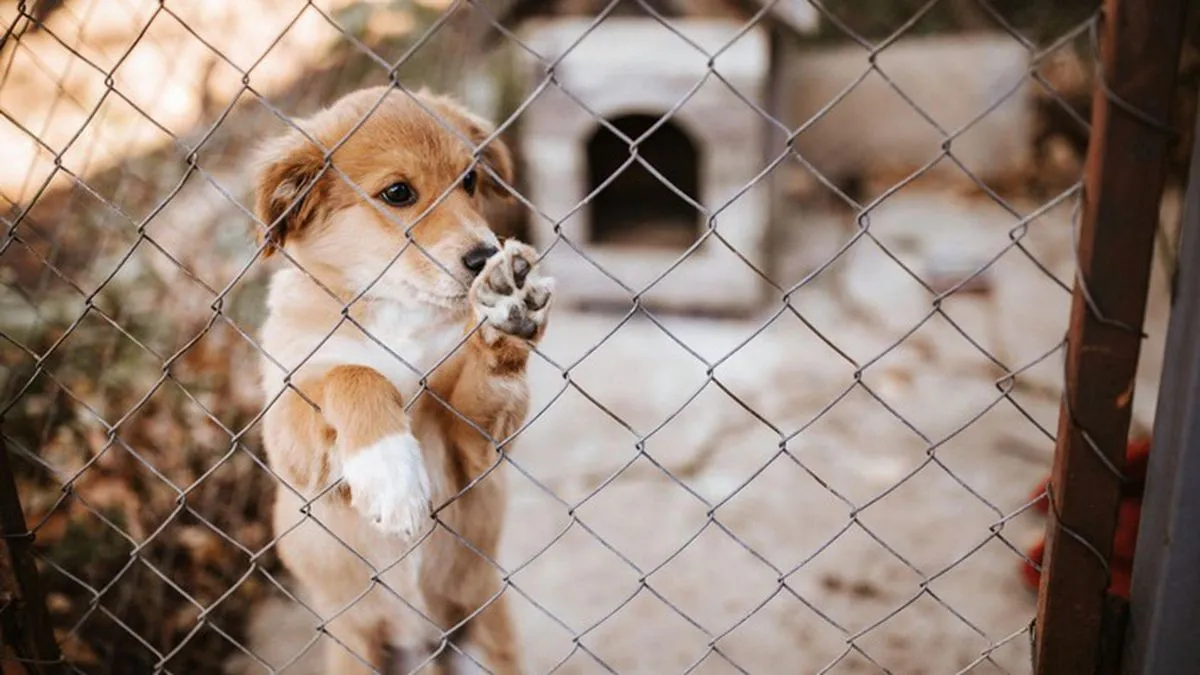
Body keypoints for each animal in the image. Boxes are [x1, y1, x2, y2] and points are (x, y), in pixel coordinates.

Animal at [254, 86, 552, 672]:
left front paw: (505, 308)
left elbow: (484, 381)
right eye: (397, 193)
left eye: (470, 180)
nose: (485, 256)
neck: (396, 313)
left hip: (485, 631)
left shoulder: (472, 450)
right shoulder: (290, 437)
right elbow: (354, 373)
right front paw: (390, 473)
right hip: (355, 650)